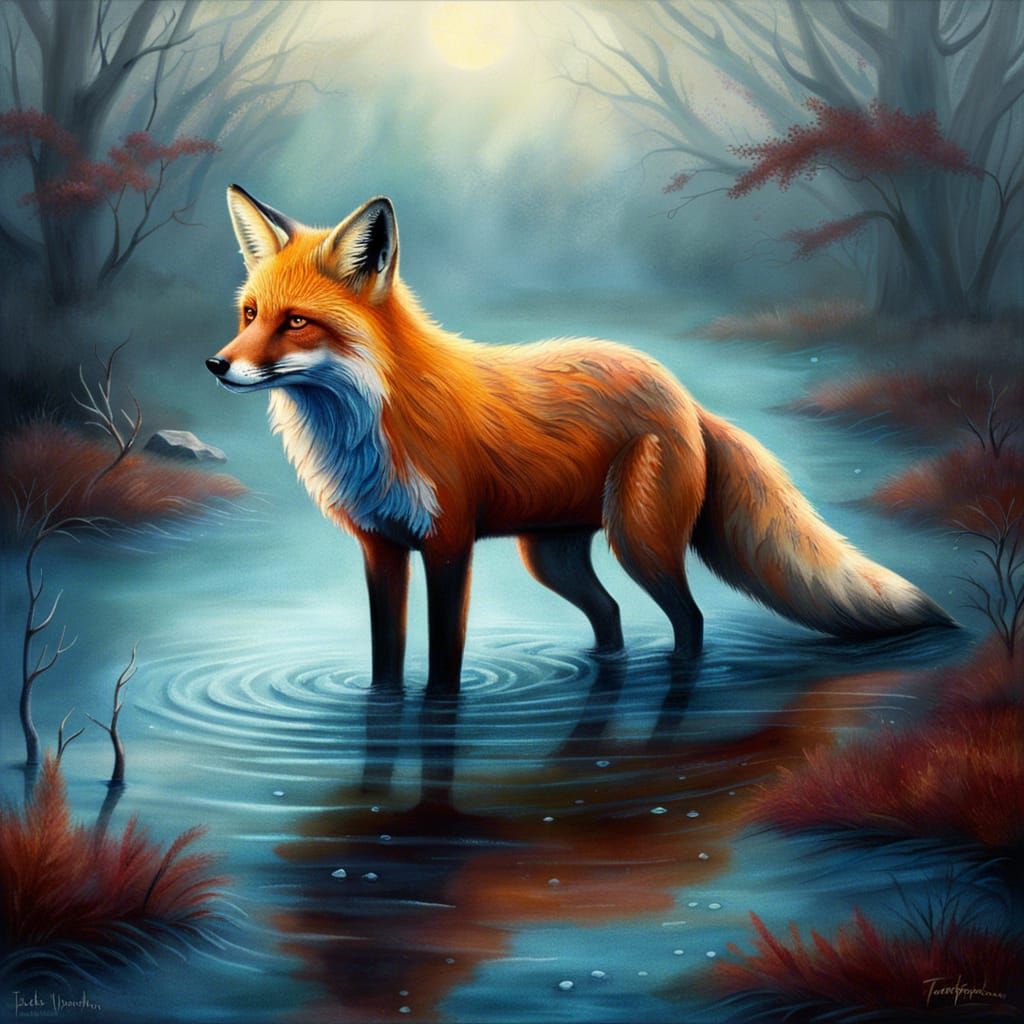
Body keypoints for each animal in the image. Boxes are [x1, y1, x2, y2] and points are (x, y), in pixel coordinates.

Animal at [208, 185, 953, 692]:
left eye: (296, 321)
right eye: (249, 314)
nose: (217, 365)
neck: (367, 428)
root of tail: (681, 393)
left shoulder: (448, 545)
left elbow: (444, 665)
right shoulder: (381, 549)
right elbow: (385, 664)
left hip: (640, 542)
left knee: (690, 621)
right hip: (553, 556)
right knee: (613, 616)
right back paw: (599, 667)